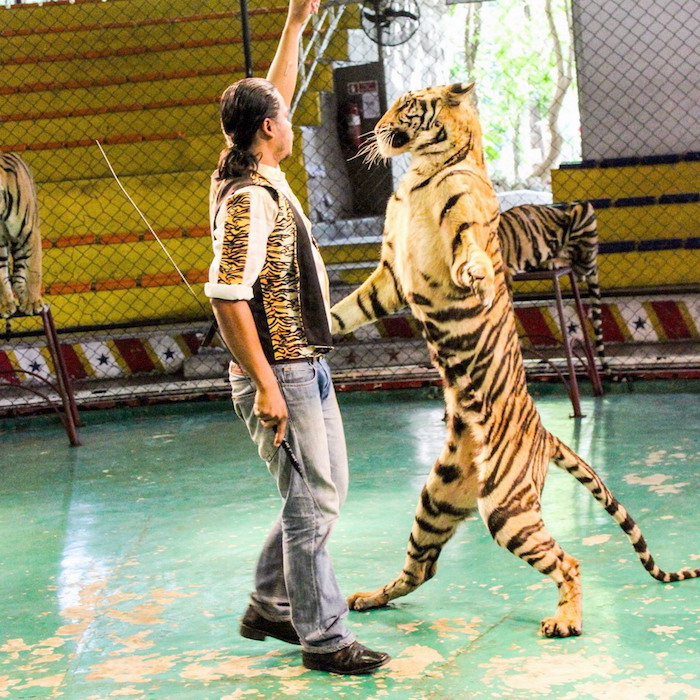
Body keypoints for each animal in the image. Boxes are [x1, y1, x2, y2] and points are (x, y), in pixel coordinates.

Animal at [0, 154, 43, 320]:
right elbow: (0, 277)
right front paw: (6, 305)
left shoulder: (30, 234)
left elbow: (33, 271)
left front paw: (33, 303)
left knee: (21, 274)